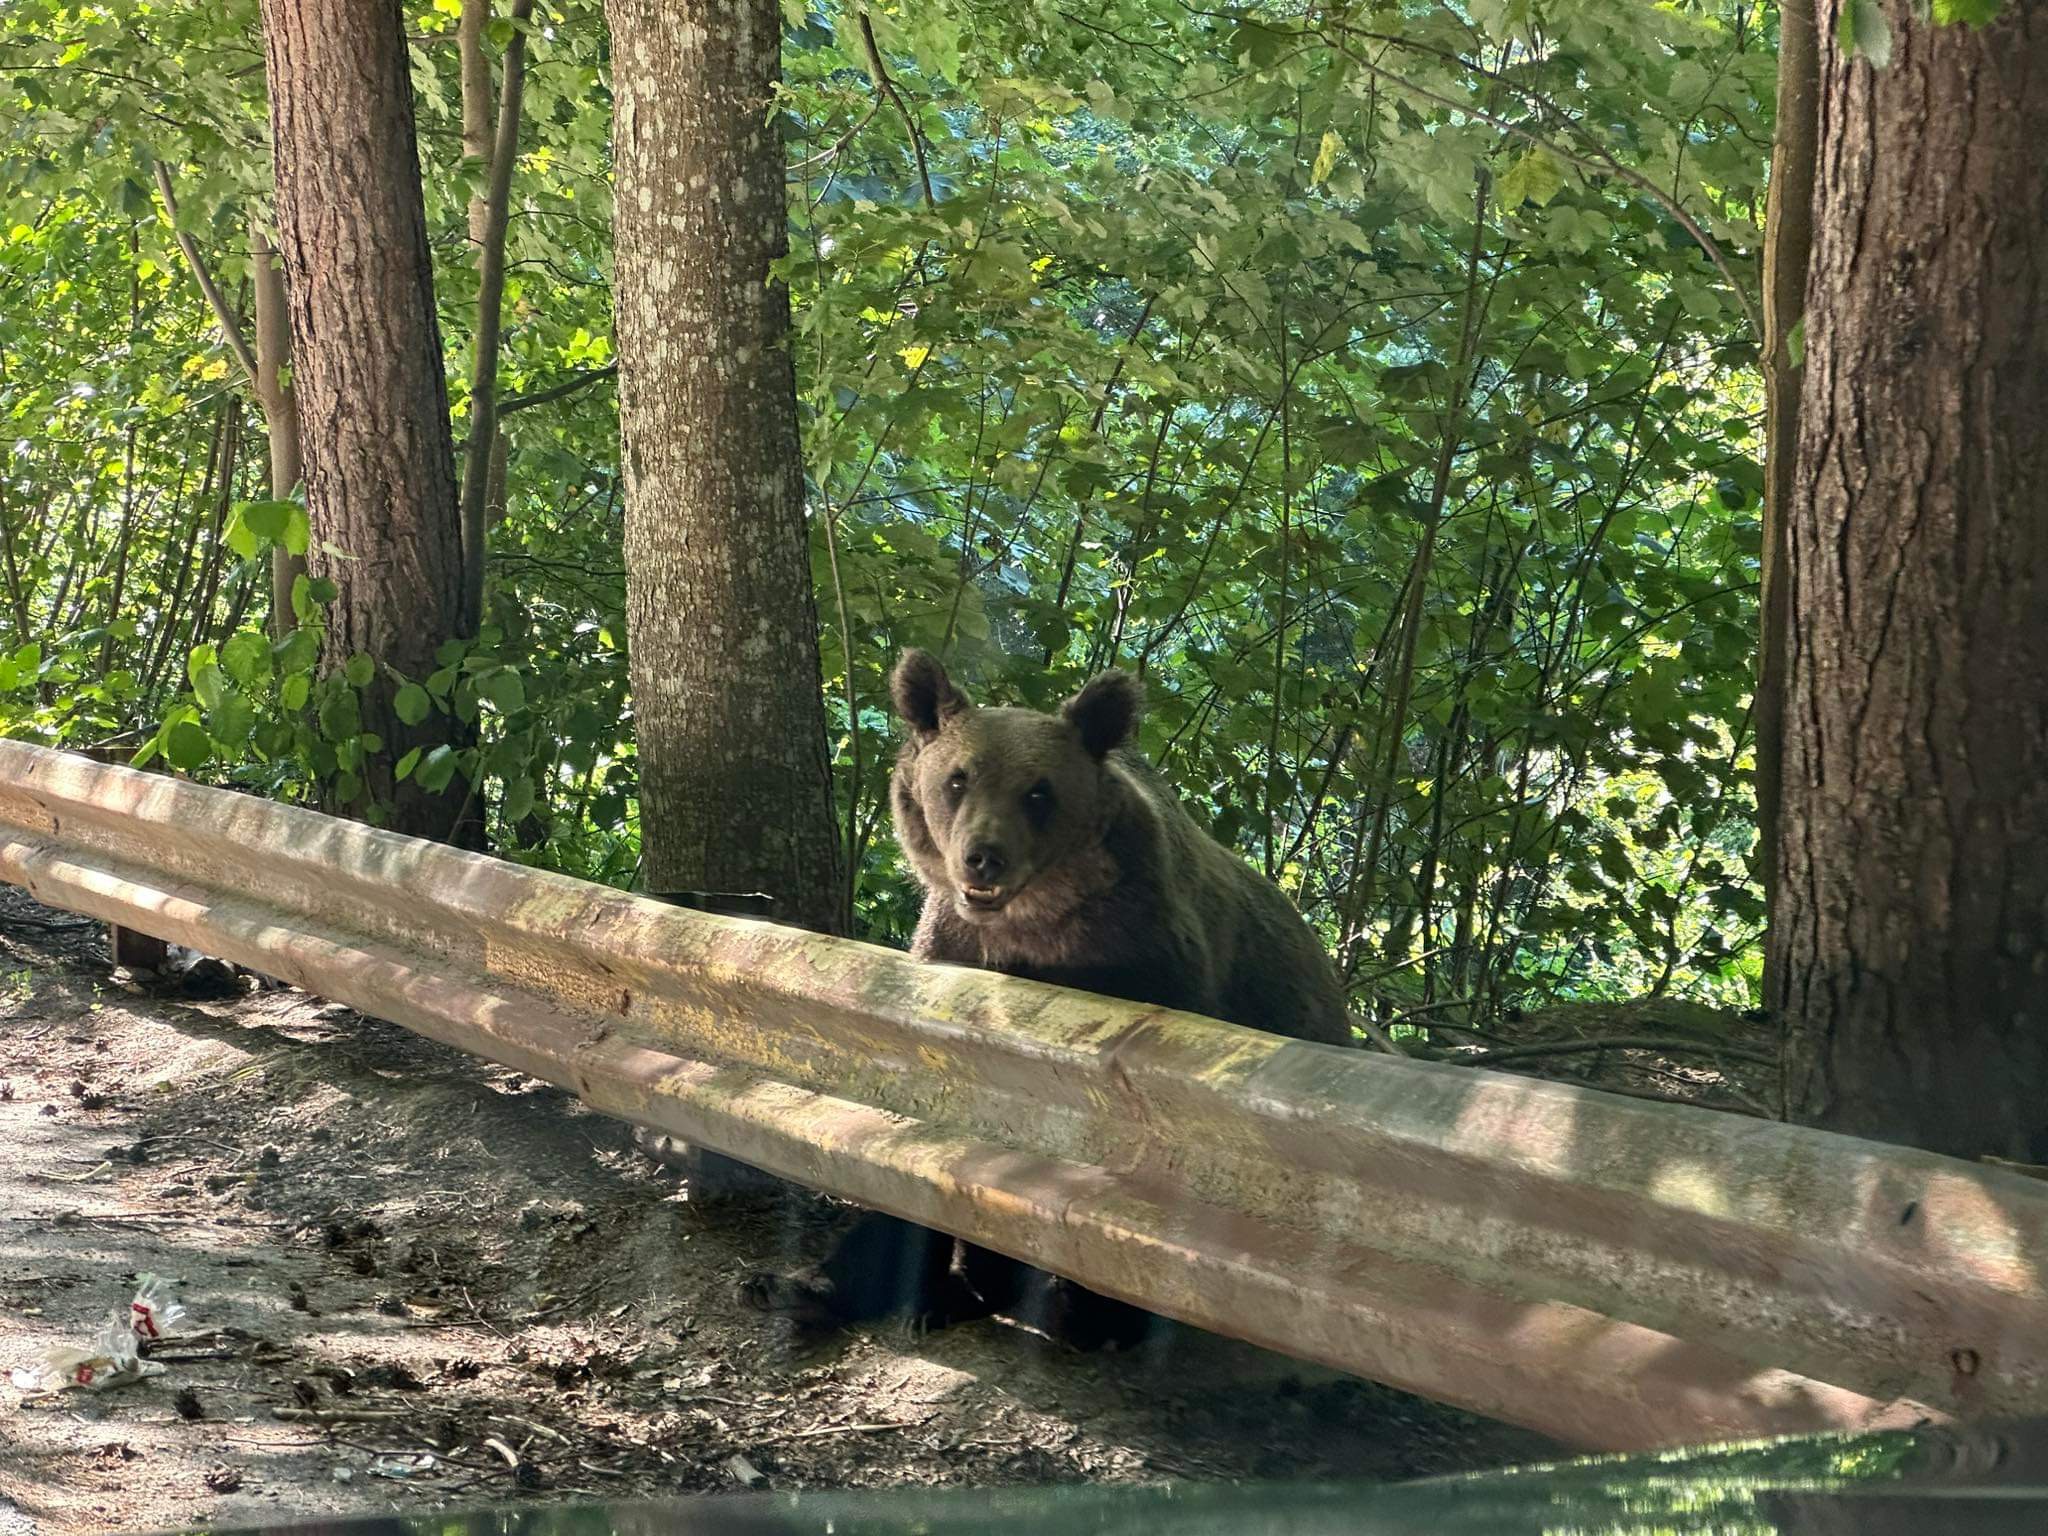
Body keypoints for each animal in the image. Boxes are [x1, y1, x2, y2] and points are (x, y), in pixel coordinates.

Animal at [745, 655, 1351, 1351]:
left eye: (1039, 792)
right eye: (957, 779)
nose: (983, 856)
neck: (1035, 929)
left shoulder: (1150, 969)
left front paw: (1092, 1309)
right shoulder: (948, 962)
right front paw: (902, 1286)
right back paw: (800, 1289)